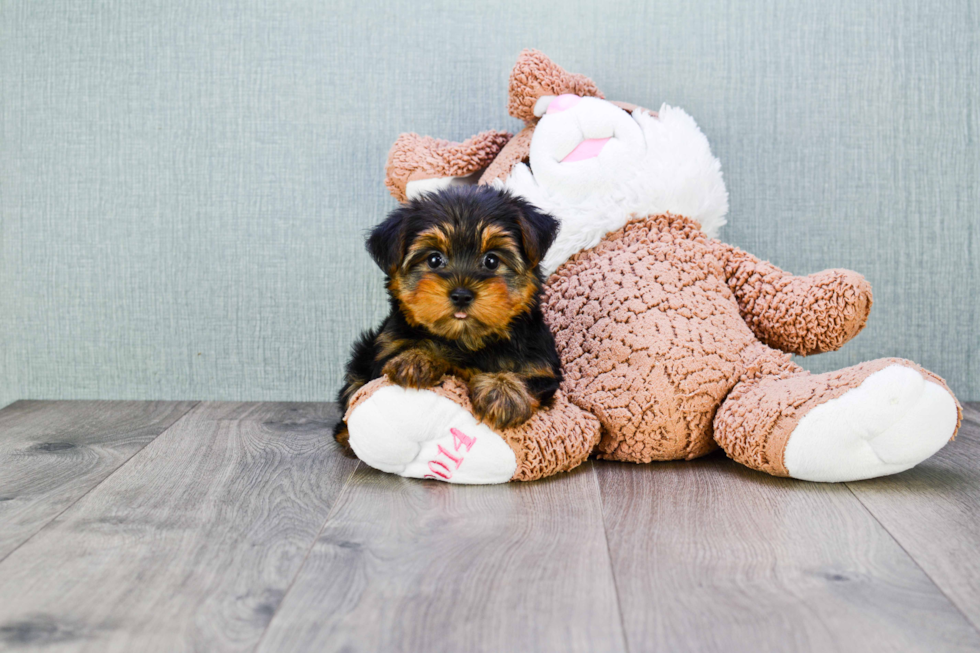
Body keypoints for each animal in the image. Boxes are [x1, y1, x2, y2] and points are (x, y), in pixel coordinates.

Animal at [334, 185, 564, 448]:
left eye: (492, 260)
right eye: (434, 259)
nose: (461, 295)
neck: (469, 339)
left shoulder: (541, 367)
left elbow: (531, 380)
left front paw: (504, 391)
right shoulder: (386, 350)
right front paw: (417, 358)